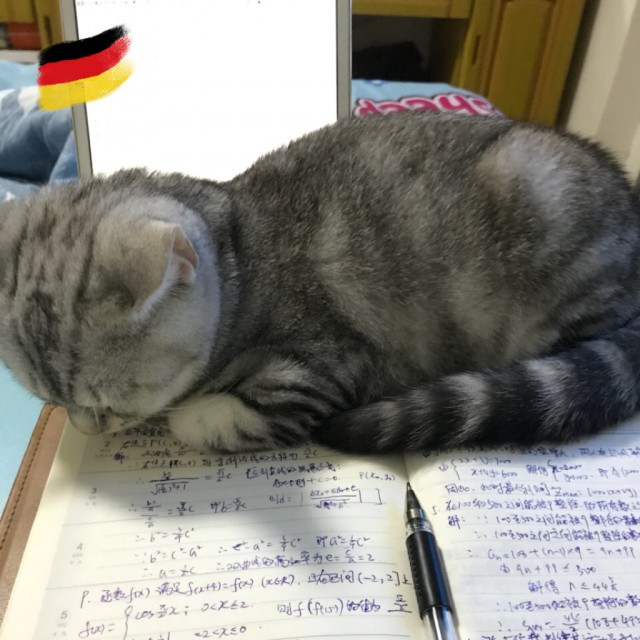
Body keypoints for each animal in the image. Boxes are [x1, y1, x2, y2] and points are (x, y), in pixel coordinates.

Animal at [1, 110, 640, 454]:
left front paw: (190, 414)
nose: (83, 429)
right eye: (49, 403)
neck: (242, 253)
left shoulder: (318, 369)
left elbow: (214, 418)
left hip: (540, 200)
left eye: (107, 406)